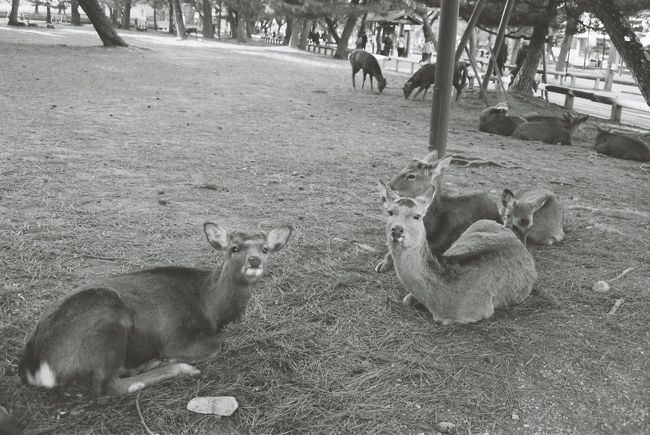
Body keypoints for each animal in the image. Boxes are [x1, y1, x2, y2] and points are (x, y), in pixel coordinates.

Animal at [18, 223, 292, 396]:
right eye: (234, 248)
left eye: (265, 249)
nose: (254, 261)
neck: (210, 310)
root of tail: (34, 368)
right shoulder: (177, 336)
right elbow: (217, 345)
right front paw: (175, 359)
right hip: (108, 320)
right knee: (107, 387)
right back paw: (177, 367)